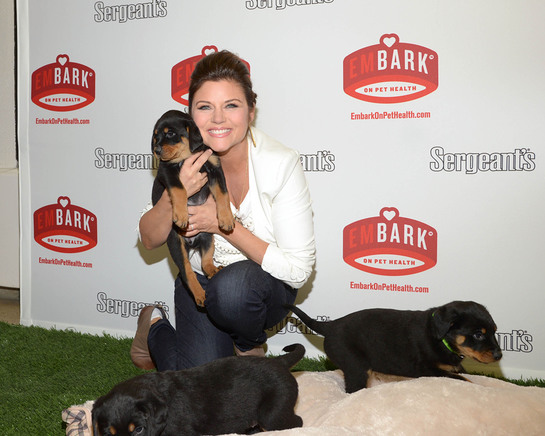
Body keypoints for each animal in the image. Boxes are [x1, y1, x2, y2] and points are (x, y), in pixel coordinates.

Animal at [151, 109, 234, 306]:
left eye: (170, 133)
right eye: (155, 136)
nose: (156, 151)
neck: (187, 156)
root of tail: (192, 242)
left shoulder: (215, 168)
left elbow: (223, 194)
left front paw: (226, 219)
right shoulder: (167, 172)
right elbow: (179, 189)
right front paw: (181, 216)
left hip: (208, 237)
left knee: (205, 261)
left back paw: (214, 270)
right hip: (176, 245)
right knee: (187, 272)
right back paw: (200, 295)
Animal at [286, 302, 504, 394]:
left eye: (495, 331)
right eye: (478, 334)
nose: (499, 355)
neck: (441, 338)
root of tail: (331, 325)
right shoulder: (428, 370)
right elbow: (465, 379)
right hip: (356, 366)